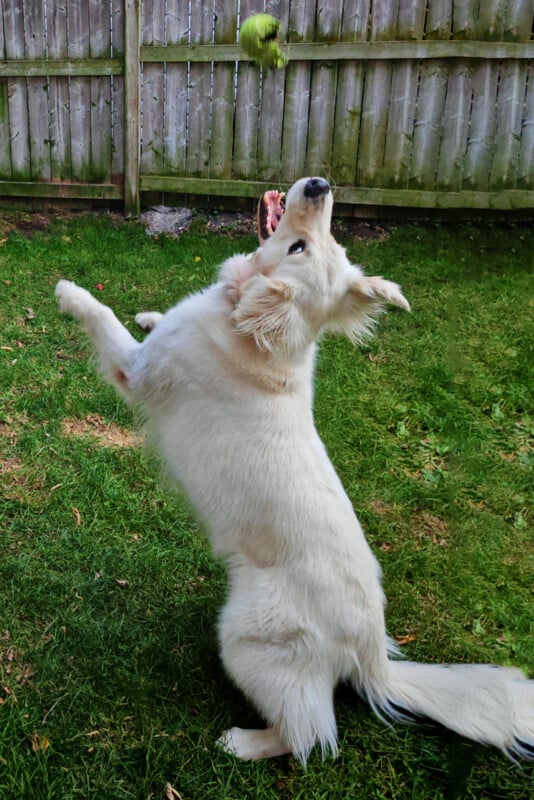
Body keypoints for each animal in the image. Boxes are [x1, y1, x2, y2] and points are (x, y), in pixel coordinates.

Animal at [56, 178, 532, 764]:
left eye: (300, 246)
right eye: (323, 244)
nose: (320, 185)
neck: (253, 330)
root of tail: (372, 655)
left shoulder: (138, 369)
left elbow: (105, 319)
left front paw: (70, 293)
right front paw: (149, 314)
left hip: (244, 636)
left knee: (310, 735)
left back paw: (243, 742)